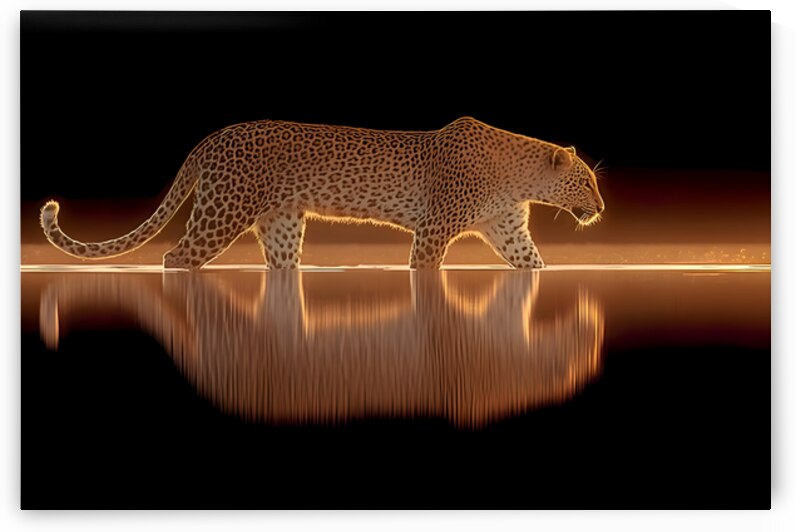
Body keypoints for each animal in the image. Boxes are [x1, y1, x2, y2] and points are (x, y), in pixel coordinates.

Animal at [39, 117, 605, 270]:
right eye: (586, 181)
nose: (601, 208)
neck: (519, 177)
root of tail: (213, 136)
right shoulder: (434, 230)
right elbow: (422, 269)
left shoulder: (507, 229)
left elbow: (532, 263)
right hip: (222, 212)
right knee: (175, 257)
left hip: (282, 225)